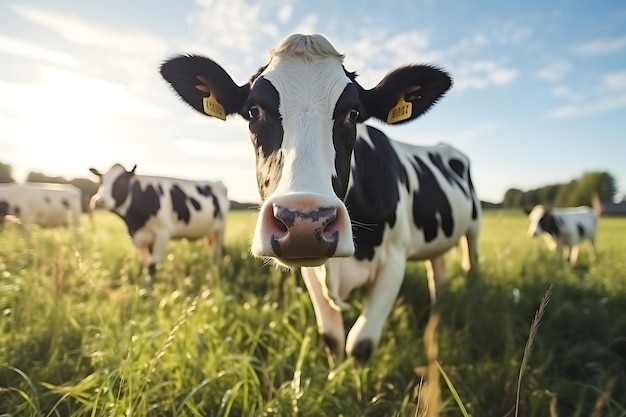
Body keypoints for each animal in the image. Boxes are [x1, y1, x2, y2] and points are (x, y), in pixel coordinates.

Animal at [90, 162, 229, 286]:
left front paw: (149, 292)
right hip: (210, 232)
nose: (99, 201)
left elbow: (152, 266)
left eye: (121, 182)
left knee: (217, 253)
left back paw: (214, 274)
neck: (135, 223)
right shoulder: (140, 237)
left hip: (221, 229)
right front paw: (146, 288)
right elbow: (146, 265)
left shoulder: (163, 233)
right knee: (212, 251)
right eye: (101, 181)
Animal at [160, 34, 478, 362]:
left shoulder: (394, 260)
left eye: (353, 113)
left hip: (473, 228)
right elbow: (332, 339)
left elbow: (360, 345)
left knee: (469, 265)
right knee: (438, 275)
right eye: (253, 111)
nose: (304, 222)